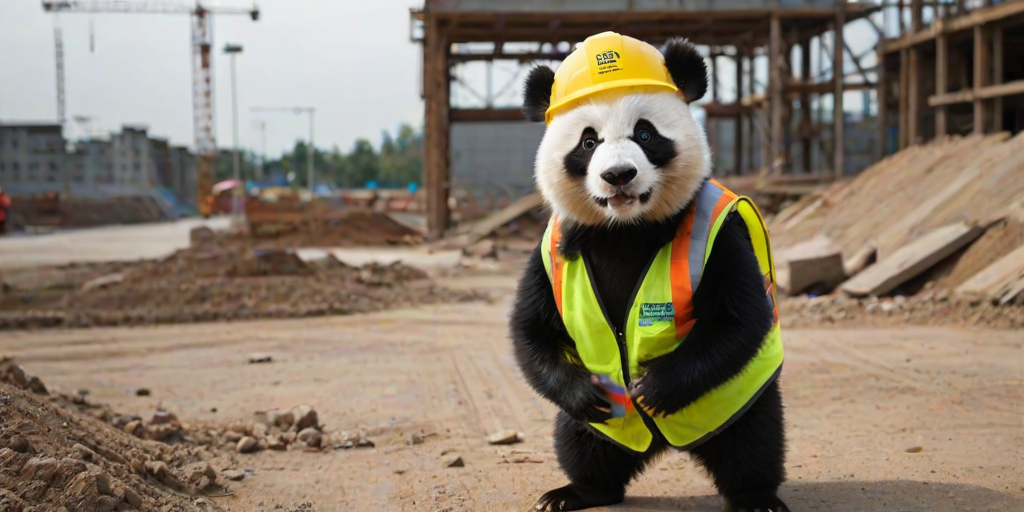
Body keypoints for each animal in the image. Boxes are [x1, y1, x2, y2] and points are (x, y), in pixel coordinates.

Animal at [508, 32, 789, 512]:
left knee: (752, 440)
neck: (626, 228)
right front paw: (588, 393)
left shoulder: (719, 234)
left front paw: (652, 389)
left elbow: (739, 318)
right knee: (582, 442)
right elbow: (532, 330)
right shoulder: (556, 248)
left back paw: (756, 496)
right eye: (588, 142)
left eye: (644, 133)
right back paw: (576, 491)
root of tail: (663, 443)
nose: (619, 175)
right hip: (606, 428)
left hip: (738, 396)